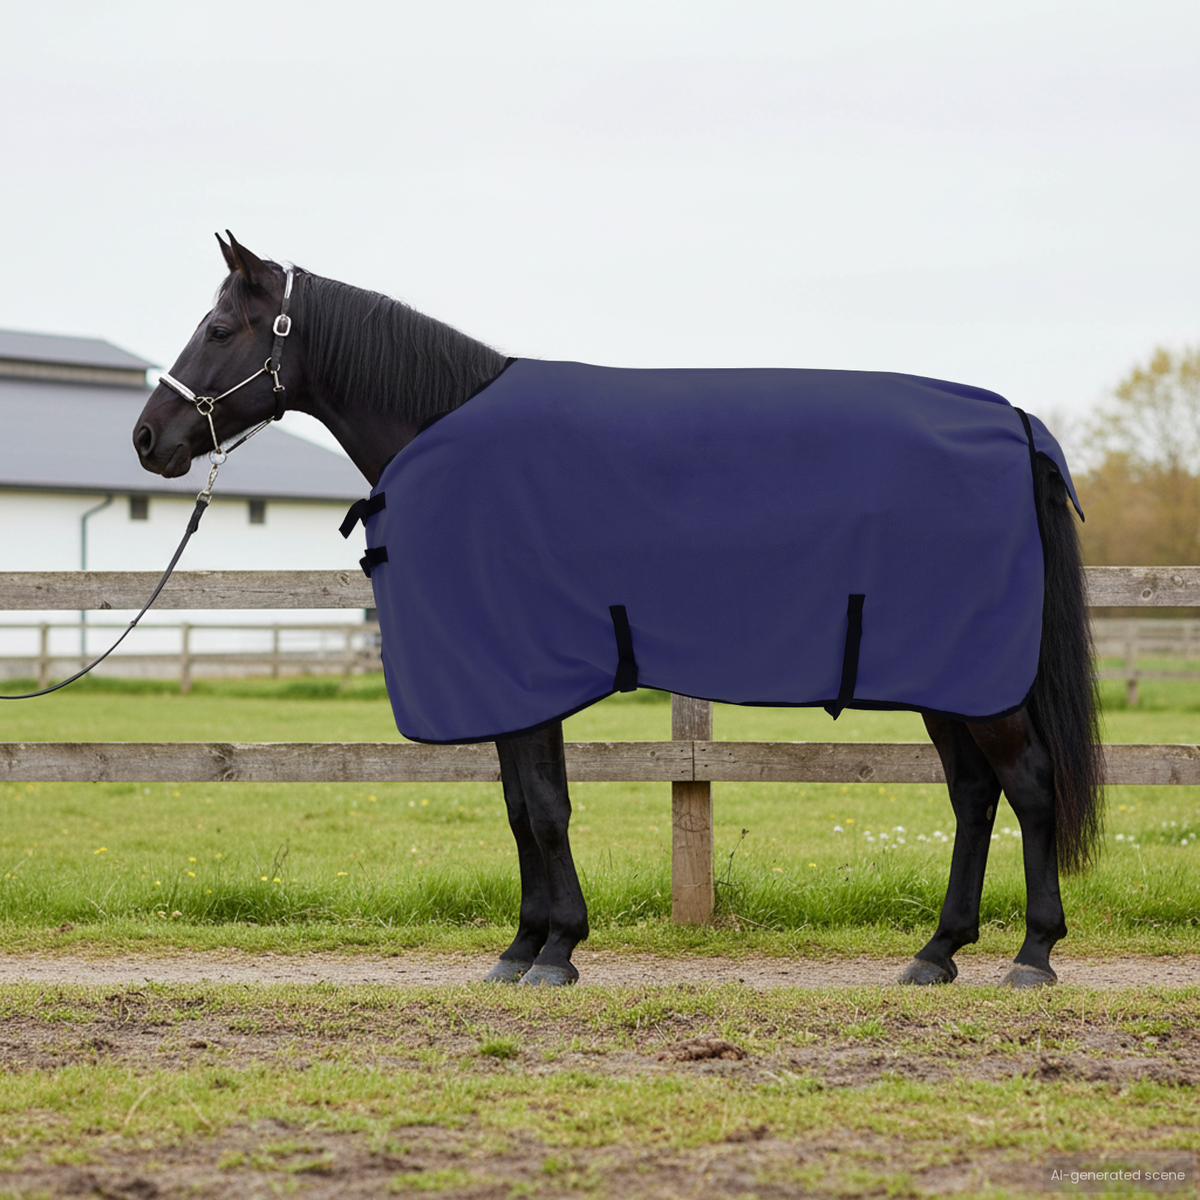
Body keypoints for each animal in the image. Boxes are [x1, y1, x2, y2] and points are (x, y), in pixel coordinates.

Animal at [133, 233, 1104, 988]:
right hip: (945, 676)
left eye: (218, 329)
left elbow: (545, 809)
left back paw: (1033, 954)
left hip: (976, 678)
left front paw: (556, 950)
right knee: (974, 795)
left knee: (1029, 786)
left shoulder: (524, 674)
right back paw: (937, 953)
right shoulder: (511, 685)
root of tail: (1013, 423)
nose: (148, 438)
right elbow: (522, 807)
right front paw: (525, 946)